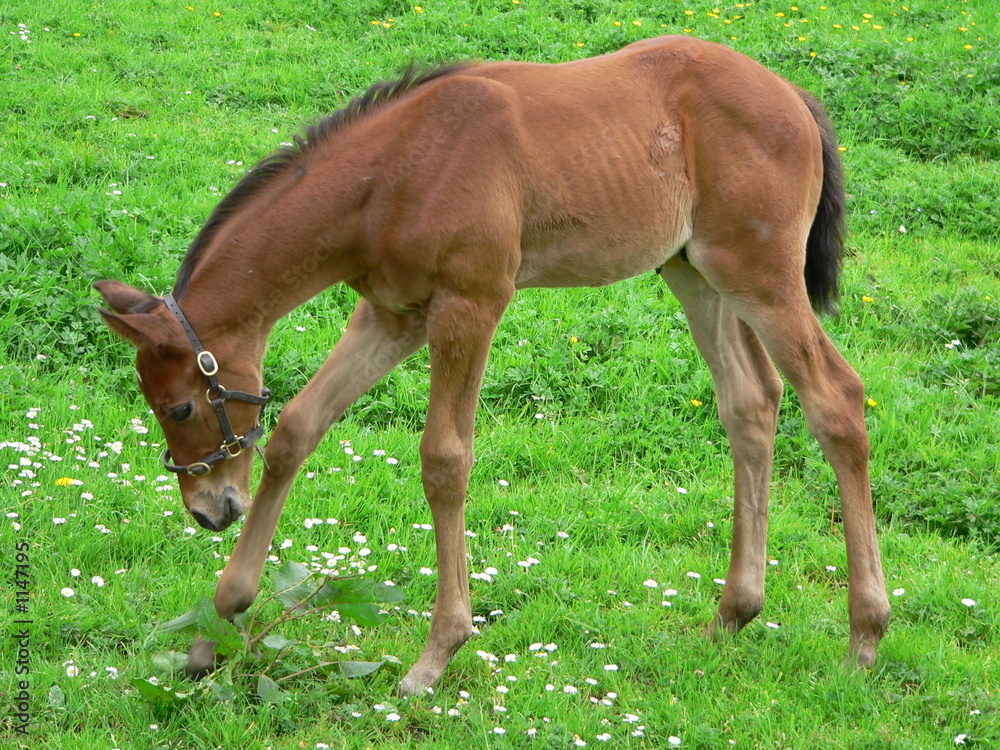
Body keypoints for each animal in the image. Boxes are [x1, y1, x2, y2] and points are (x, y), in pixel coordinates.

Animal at [95, 36, 890, 696]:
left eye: (179, 406)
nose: (208, 509)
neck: (391, 176)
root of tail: (795, 96)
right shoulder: (392, 313)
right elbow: (296, 429)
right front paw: (215, 632)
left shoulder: (470, 304)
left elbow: (445, 459)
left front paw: (435, 655)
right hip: (693, 270)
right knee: (751, 401)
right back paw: (734, 612)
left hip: (758, 272)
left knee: (837, 398)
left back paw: (865, 636)